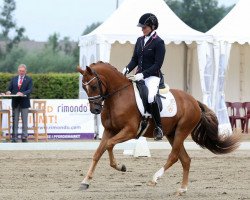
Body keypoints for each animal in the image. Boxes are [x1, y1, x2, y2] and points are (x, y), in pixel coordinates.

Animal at [76, 61, 240, 195]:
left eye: (94, 86)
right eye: (84, 87)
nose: (95, 110)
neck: (118, 96)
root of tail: (193, 100)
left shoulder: (129, 131)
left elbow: (109, 145)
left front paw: (120, 166)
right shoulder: (109, 131)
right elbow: (98, 153)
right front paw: (85, 181)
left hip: (181, 131)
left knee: (174, 156)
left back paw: (155, 178)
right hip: (172, 134)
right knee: (185, 159)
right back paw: (182, 189)